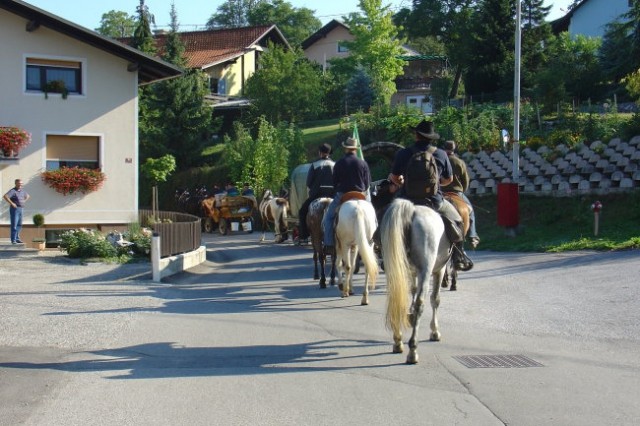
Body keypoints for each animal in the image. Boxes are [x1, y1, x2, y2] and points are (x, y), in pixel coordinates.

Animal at [380, 198, 450, 364]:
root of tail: (412, 210)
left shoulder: (412, 272)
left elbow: (412, 291)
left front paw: (409, 316)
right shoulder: (439, 270)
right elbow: (435, 299)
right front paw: (435, 331)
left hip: (395, 268)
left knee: (396, 299)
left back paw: (398, 341)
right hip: (426, 270)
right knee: (420, 304)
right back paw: (413, 350)